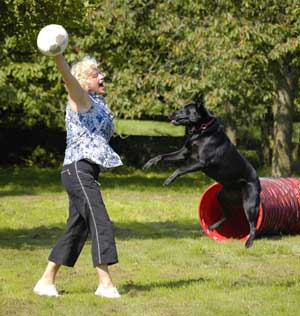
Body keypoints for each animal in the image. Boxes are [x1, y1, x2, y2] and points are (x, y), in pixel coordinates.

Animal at [143, 96, 260, 249]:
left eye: (184, 110)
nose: (169, 115)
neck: (201, 130)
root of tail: (257, 180)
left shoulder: (201, 162)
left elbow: (180, 169)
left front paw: (168, 180)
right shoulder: (183, 154)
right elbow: (161, 156)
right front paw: (149, 164)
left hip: (249, 204)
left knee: (253, 225)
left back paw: (249, 242)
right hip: (222, 196)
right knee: (229, 215)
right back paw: (212, 226)